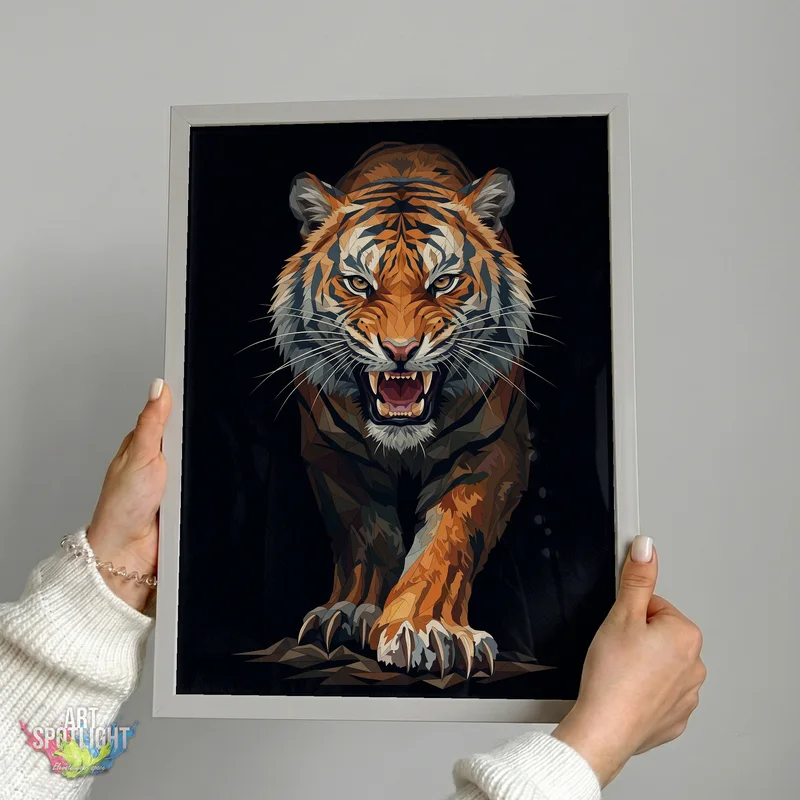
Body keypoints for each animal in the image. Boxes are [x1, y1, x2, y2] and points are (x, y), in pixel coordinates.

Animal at [269, 142, 535, 678]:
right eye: (358, 283)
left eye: (444, 281)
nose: (399, 350)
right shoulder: (335, 452)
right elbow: (366, 536)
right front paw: (351, 612)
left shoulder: (491, 451)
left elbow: (449, 541)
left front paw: (429, 630)